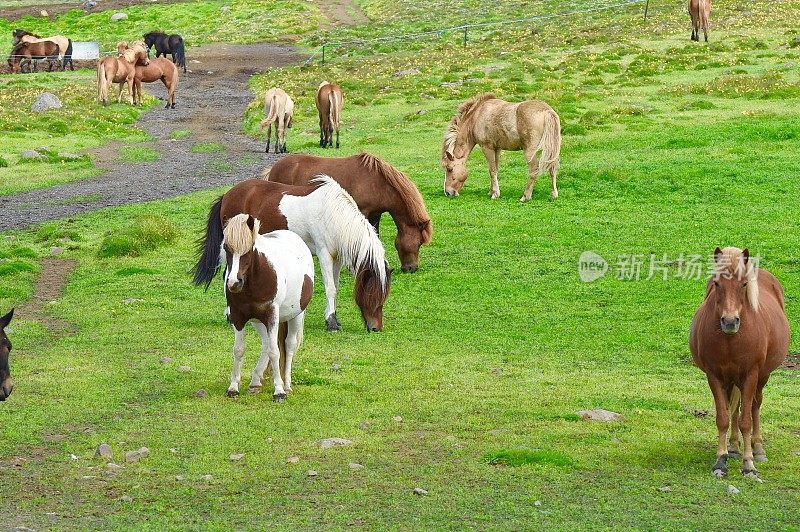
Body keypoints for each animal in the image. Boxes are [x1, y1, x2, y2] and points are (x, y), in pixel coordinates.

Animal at [195, 177, 394, 330]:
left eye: (384, 296)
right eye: (372, 294)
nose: (376, 327)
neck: (333, 214)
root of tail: (227, 195)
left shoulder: (336, 258)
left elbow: (335, 287)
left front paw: (334, 319)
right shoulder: (324, 254)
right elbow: (330, 288)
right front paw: (331, 322)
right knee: (227, 276)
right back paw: (231, 315)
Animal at [223, 214, 318, 402]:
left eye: (249, 249)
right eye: (225, 247)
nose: (233, 283)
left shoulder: (272, 315)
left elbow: (275, 352)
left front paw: (279, 391)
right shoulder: (238, 317)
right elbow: (239, 350)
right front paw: (233, 388)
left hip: (295, 316)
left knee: (288, 345)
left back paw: (287, 384)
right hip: (259, 321)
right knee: (266, 343)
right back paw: (255, 382)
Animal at [262, 152, 432, 272]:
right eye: (419, 243)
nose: (411, 269)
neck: (378, 183)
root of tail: (274, 167)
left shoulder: (375, 215)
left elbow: (375, 236)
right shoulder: (362, 212)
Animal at [692, 248, 792, 478]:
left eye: (744, 284)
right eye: (717, 283)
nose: (730, 322)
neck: (731, 340)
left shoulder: (750, 376)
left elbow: (746, 420)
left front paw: (749, 464)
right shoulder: (715, 376)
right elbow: (723, 418)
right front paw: (721, 461)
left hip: (761, 377)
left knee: (754, 406)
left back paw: (758, 448)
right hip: (731, 381)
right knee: (734, 410)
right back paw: (734, 447)